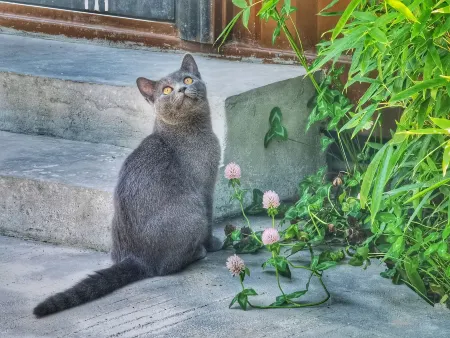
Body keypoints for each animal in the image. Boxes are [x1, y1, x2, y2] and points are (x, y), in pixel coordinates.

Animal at [32, 54, 222, 318]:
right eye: (166, 90)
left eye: (187, 79)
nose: (181, 89)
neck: (193, 130)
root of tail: (136, 258)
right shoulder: (206, 188)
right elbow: (211, 221)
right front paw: (214, 244)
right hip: (193, 211)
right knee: (166, 267)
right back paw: (198, 252)